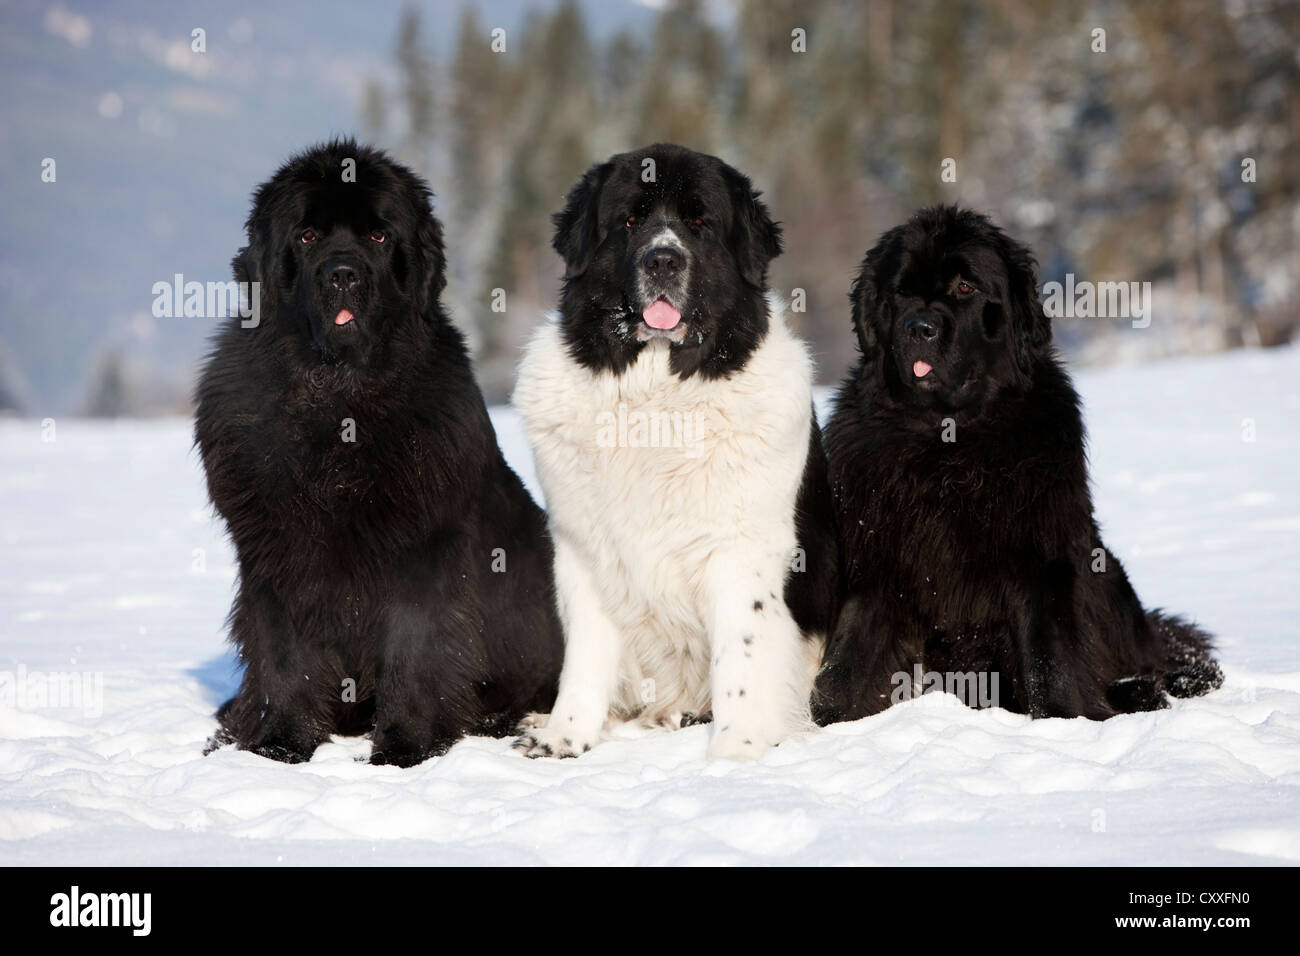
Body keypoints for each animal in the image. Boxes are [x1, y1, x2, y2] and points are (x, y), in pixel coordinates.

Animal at [195, 141, 561, 764]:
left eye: (379, 236)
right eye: (307, 236)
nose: (342, 274)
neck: (340, 401)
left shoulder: (422, 554)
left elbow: (413, 654)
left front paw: (402, 750)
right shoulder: (275, 554)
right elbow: (283, 658)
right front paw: (280, 747)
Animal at [512, 141, 837, 759]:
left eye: (700, 223)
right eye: (630, 221)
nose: (663, 260)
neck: (656, 401)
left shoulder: (742, 553)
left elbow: (742, 659)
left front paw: (737, 751)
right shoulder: (585, 551)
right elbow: (584, 655)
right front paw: (566, 736)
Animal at [816, 205, 1222, 723]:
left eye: (964, 288)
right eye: (900, 292)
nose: (918, 327)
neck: (947, 440)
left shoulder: (1040, 558)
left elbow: (1048, 656)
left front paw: (1063, 719)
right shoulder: (878, 561)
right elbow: (844, 665)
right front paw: (824, 722)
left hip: (1106, 574)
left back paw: (1147, 688)